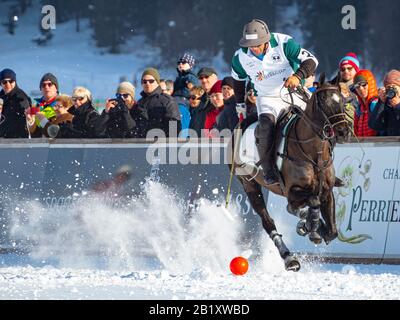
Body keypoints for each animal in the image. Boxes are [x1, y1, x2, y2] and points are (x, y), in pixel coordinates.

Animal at [231, 79, 350, 272]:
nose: (343, 132)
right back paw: (290, 258)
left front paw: (315, 227)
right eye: (323, 101)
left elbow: (332, 232)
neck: (313, 153)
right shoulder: (292, 191)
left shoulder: (326, 190)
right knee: (268, 221)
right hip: (249, 184)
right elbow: (311, 203)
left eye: (342, 100)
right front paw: (311, 227)